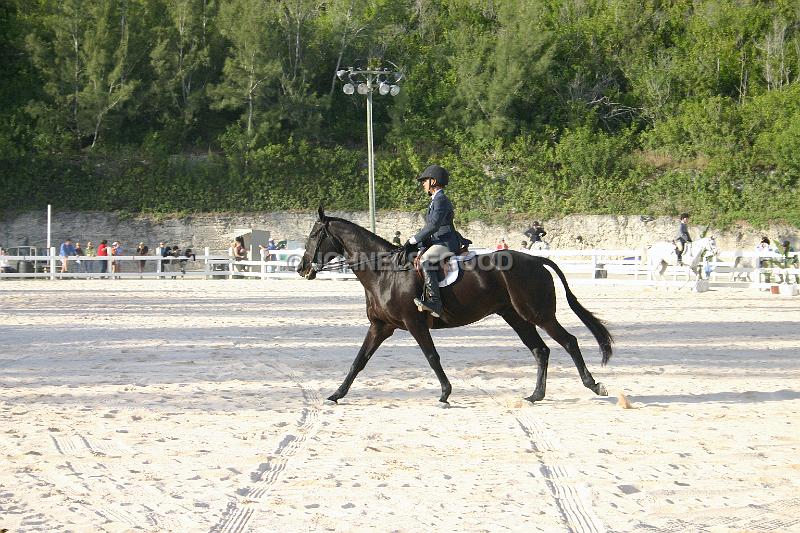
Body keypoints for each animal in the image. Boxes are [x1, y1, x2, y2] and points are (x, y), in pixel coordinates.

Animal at [296, 208, 612, 404]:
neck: (384, 271)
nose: (301, 268)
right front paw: (336, 394)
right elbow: (358, 361)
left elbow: (432, 357)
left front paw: (446, 394)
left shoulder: (414, 323)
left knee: (568, 342)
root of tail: (536, 260)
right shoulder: (381, 326)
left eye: (313, 235)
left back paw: (594, 385)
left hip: (539, 314)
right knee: (540, 350)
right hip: (516, 317)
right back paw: (536, 395)